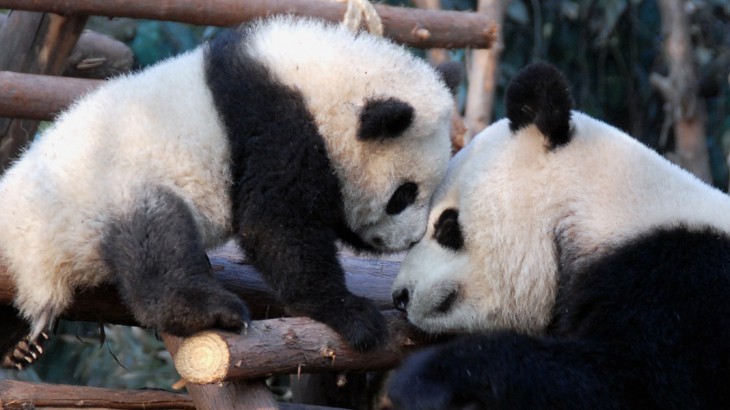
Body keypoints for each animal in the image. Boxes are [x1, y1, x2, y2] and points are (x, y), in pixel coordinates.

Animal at [0, 16, 456, 368]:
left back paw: (19, 346)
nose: (409, 240)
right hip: (105, 194)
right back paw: (211, 312)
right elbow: (276, 227)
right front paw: (351, 314)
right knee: (157, 245)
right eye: (404, 194)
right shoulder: (277, 126)